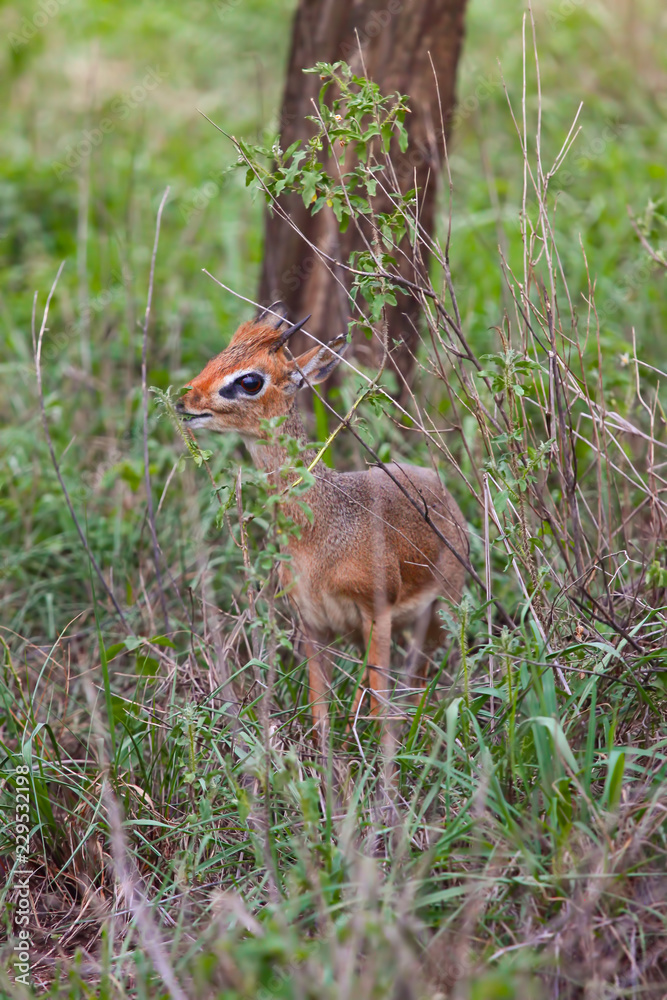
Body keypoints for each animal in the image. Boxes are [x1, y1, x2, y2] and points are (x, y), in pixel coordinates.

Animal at [176, 303, 468, 732]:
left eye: (250, 380)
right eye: (218, 357)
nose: (186, 400)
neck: (319, 533)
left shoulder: (376, 613)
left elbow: (379, 705)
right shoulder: (313, 622)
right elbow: (319, 711)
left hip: (440, 612)